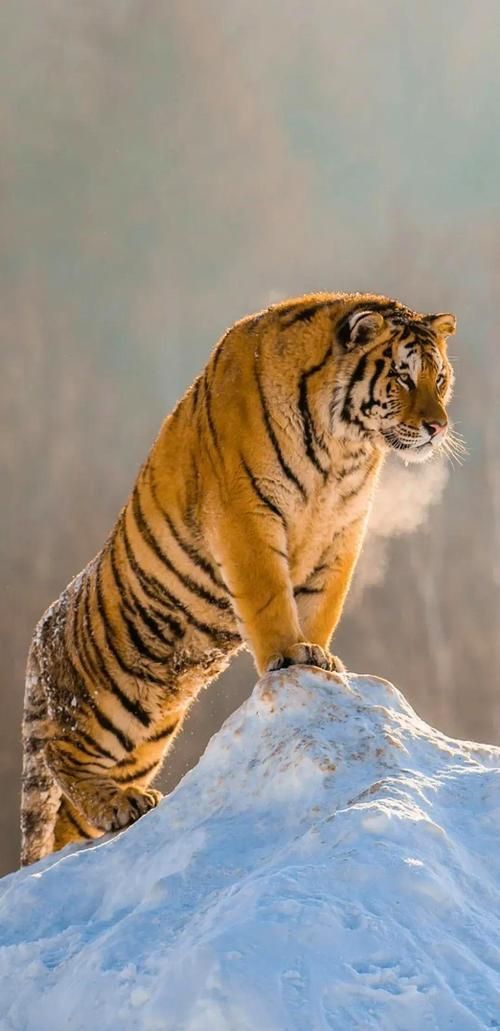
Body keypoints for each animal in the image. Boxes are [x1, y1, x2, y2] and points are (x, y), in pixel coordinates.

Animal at [20, 292, 457, 866]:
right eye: (404, 378)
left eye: (440, 378)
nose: (438, 427)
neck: (344, 449)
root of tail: (42, 628)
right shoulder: (246, 513)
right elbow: (271, 597)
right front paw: (291, 655)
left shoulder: (342, 530)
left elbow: (322, 605)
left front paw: (319, 657)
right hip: (109, 702)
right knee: (61, 755)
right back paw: (119, 805)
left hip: (146, 728)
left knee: (69, 823)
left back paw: (117, 813)